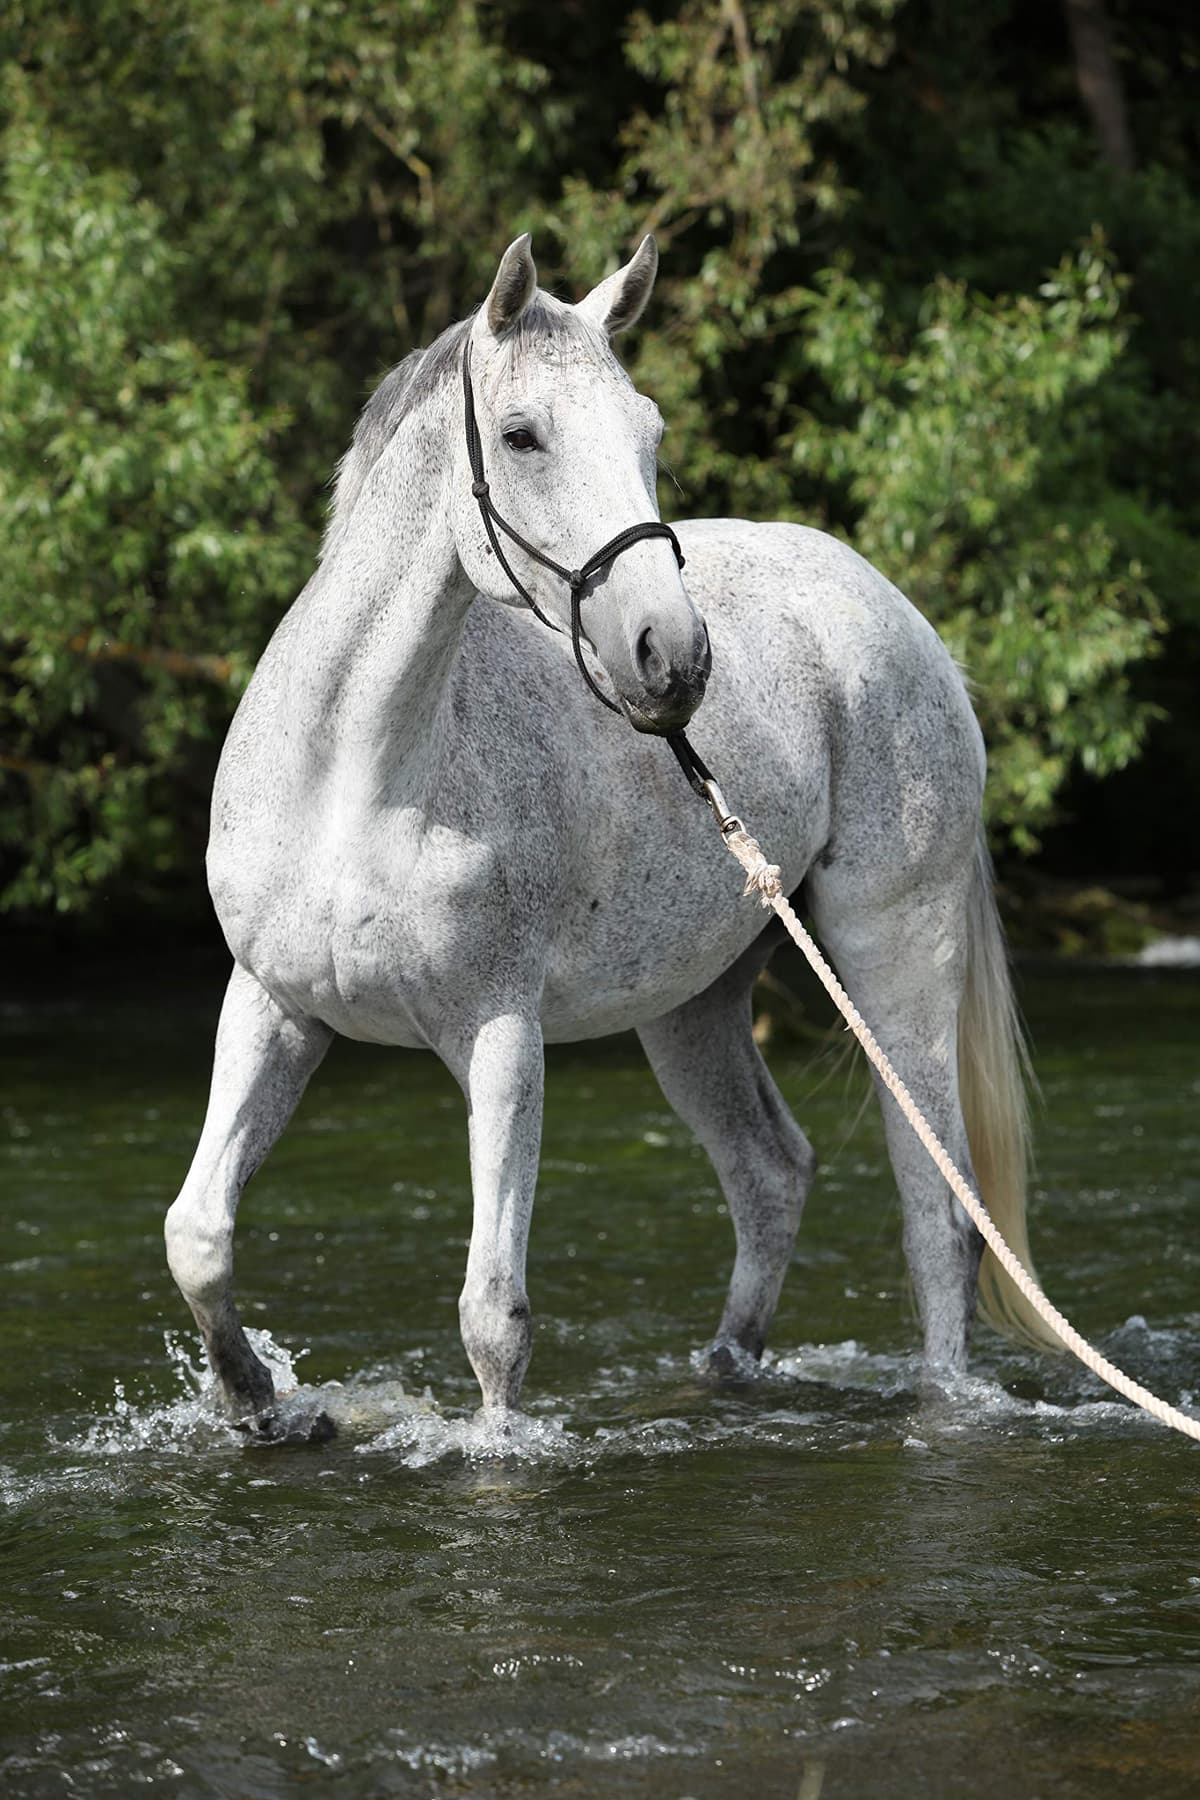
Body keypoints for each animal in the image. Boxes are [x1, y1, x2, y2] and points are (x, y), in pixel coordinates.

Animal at [165, 234, 1052, 1442]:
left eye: (649, 433)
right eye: (521, 435)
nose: (672, 657)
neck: (356, 781)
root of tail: (892, 608)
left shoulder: (500, 1033)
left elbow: (494, 1315)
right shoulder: (272, 1006)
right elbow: (199, 1236)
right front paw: (259, 1407)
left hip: (892, 960)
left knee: (938, 1208)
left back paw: (942, 1403)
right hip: (693, 1008)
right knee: (772, 1172)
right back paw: (724, 1373)